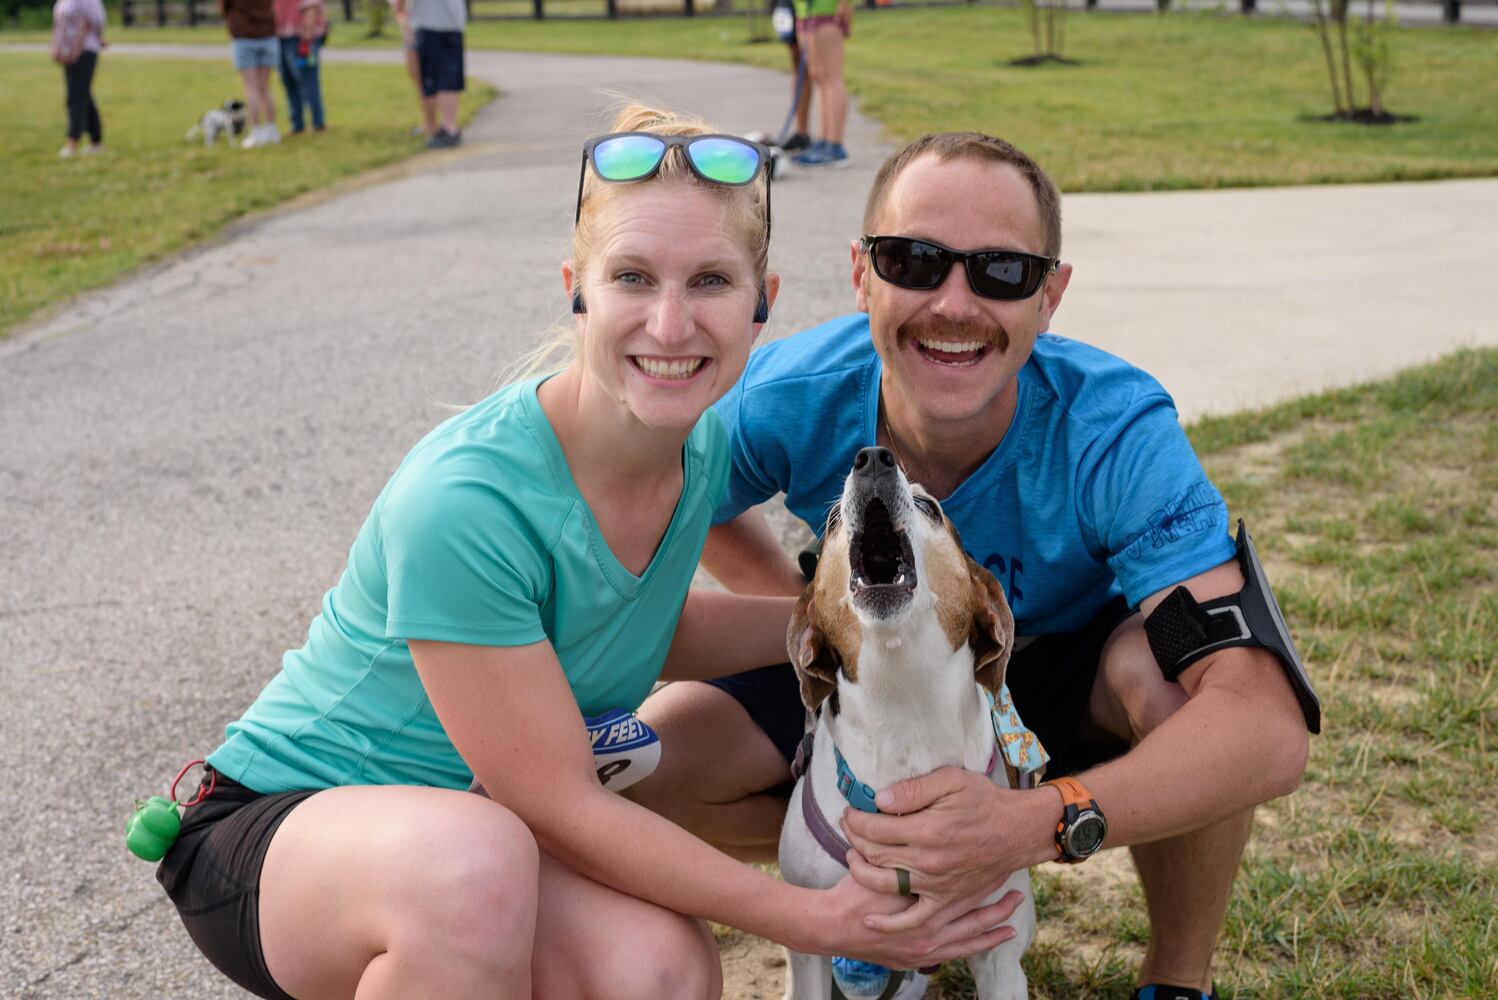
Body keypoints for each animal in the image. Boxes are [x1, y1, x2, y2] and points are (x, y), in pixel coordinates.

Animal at [778, 446, 1036, 999]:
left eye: (929, 507)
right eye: (832, 522)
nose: (873, 457)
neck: (902, 704)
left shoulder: (1001, 957)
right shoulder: (809, 944)